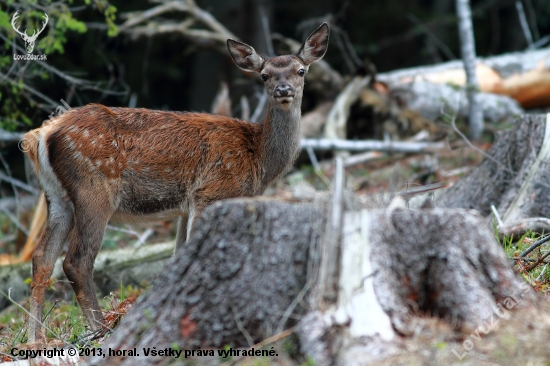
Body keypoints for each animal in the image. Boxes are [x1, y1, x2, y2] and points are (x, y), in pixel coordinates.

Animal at [23, 23, 330, 344]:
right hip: (94, 189)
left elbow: (178, 257)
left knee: (42, 258)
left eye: (300, 71)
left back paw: (34, 338)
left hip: (57, 197)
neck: (258, 158)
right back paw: (100, 331)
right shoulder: (211, 191)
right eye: (265, 75)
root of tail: (39, 136)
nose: (284, 90)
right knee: (77, 261)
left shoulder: (185, 207)